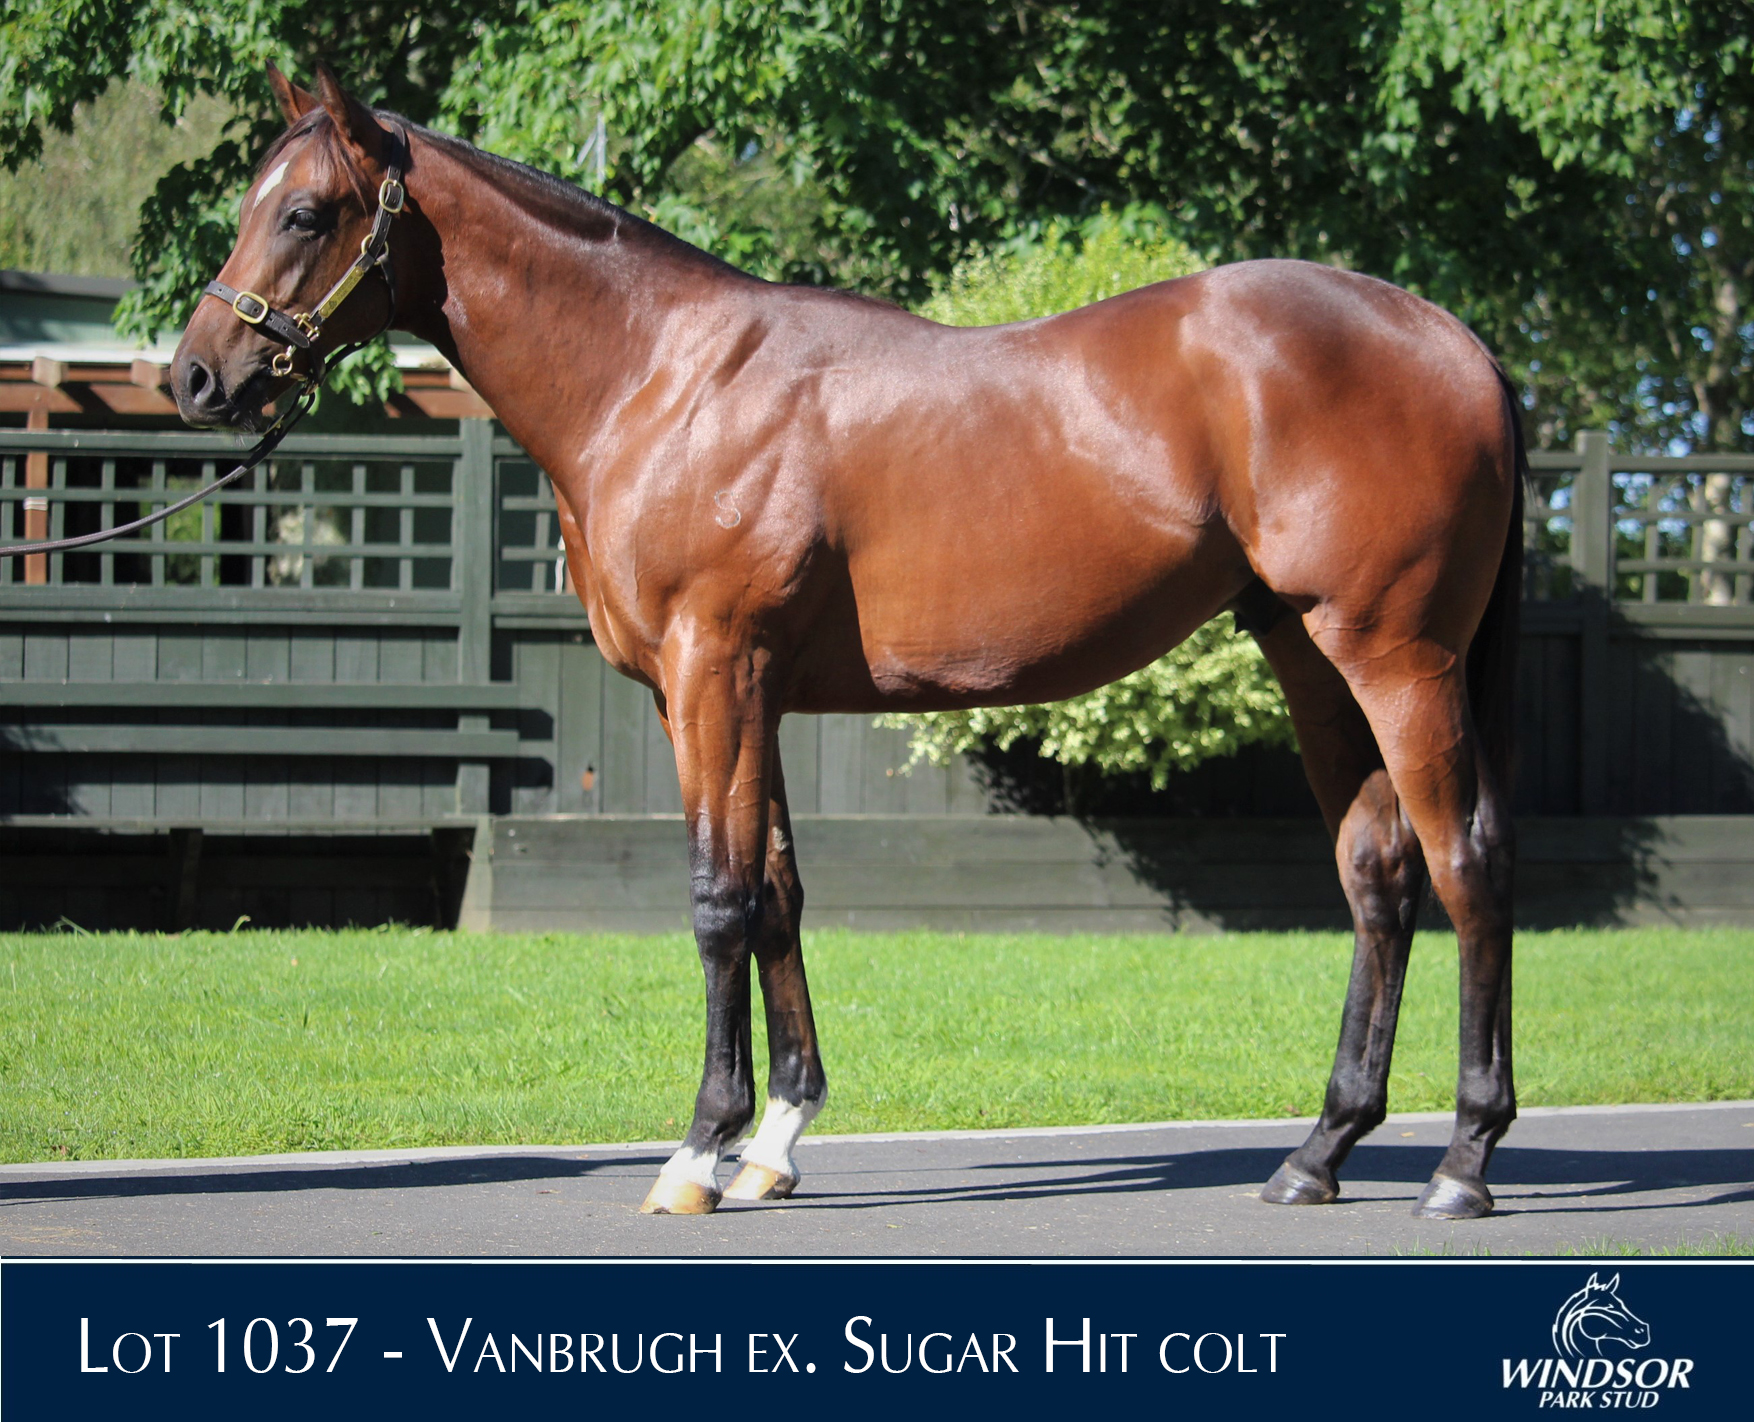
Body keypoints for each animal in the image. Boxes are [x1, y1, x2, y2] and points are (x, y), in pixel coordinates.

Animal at [172, 64, 1525, 1221]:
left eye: (304, 211)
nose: (197, 378)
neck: (663, 378)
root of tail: (1451, 338)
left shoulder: (711, 671)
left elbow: (717, 897)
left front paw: (695, 1154)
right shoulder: (743, 691)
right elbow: (776, 892)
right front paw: (772, 1141)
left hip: (1394, 658)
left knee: (1465, 863)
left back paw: (1461, 1162)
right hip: (1306, 656)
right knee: (1376, 874)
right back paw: (1318, 1153)